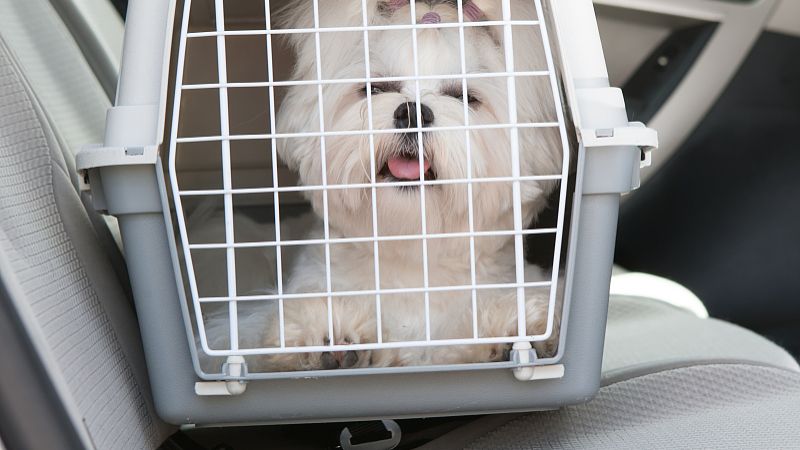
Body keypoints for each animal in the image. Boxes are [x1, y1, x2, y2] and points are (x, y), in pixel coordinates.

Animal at [197, 0, 564, 373]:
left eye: (464, 96)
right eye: (375, 89)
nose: (412, 112)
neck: (411, 254)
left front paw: (514, 328)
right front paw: (327, 332)